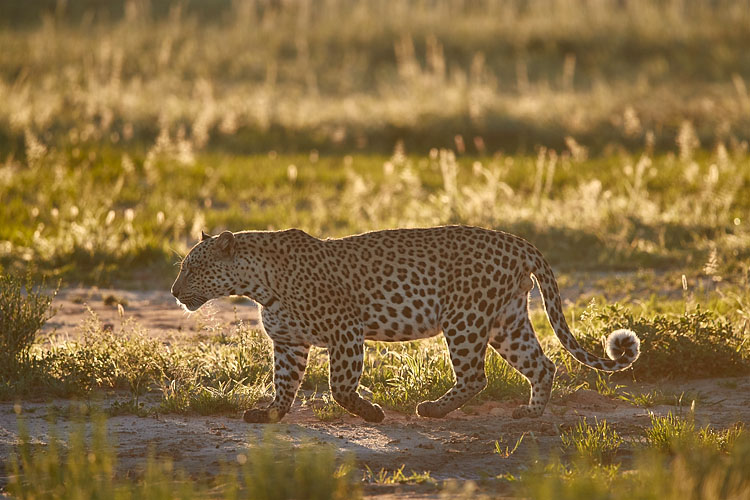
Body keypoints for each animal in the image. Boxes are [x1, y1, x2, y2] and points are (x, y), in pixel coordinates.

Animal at [171, 225, 640, 424]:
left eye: (192, 268)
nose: (175, 292)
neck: (258, 284)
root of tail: (520, 242)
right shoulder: (288, 343)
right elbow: (284, 384)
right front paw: (270, 414)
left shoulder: (346, 330)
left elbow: (340, 387)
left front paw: (371, 413)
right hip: (506, 320)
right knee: (542, 365)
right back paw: (530, 414)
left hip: (464, 318)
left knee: (475, 375)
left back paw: (432, 409)